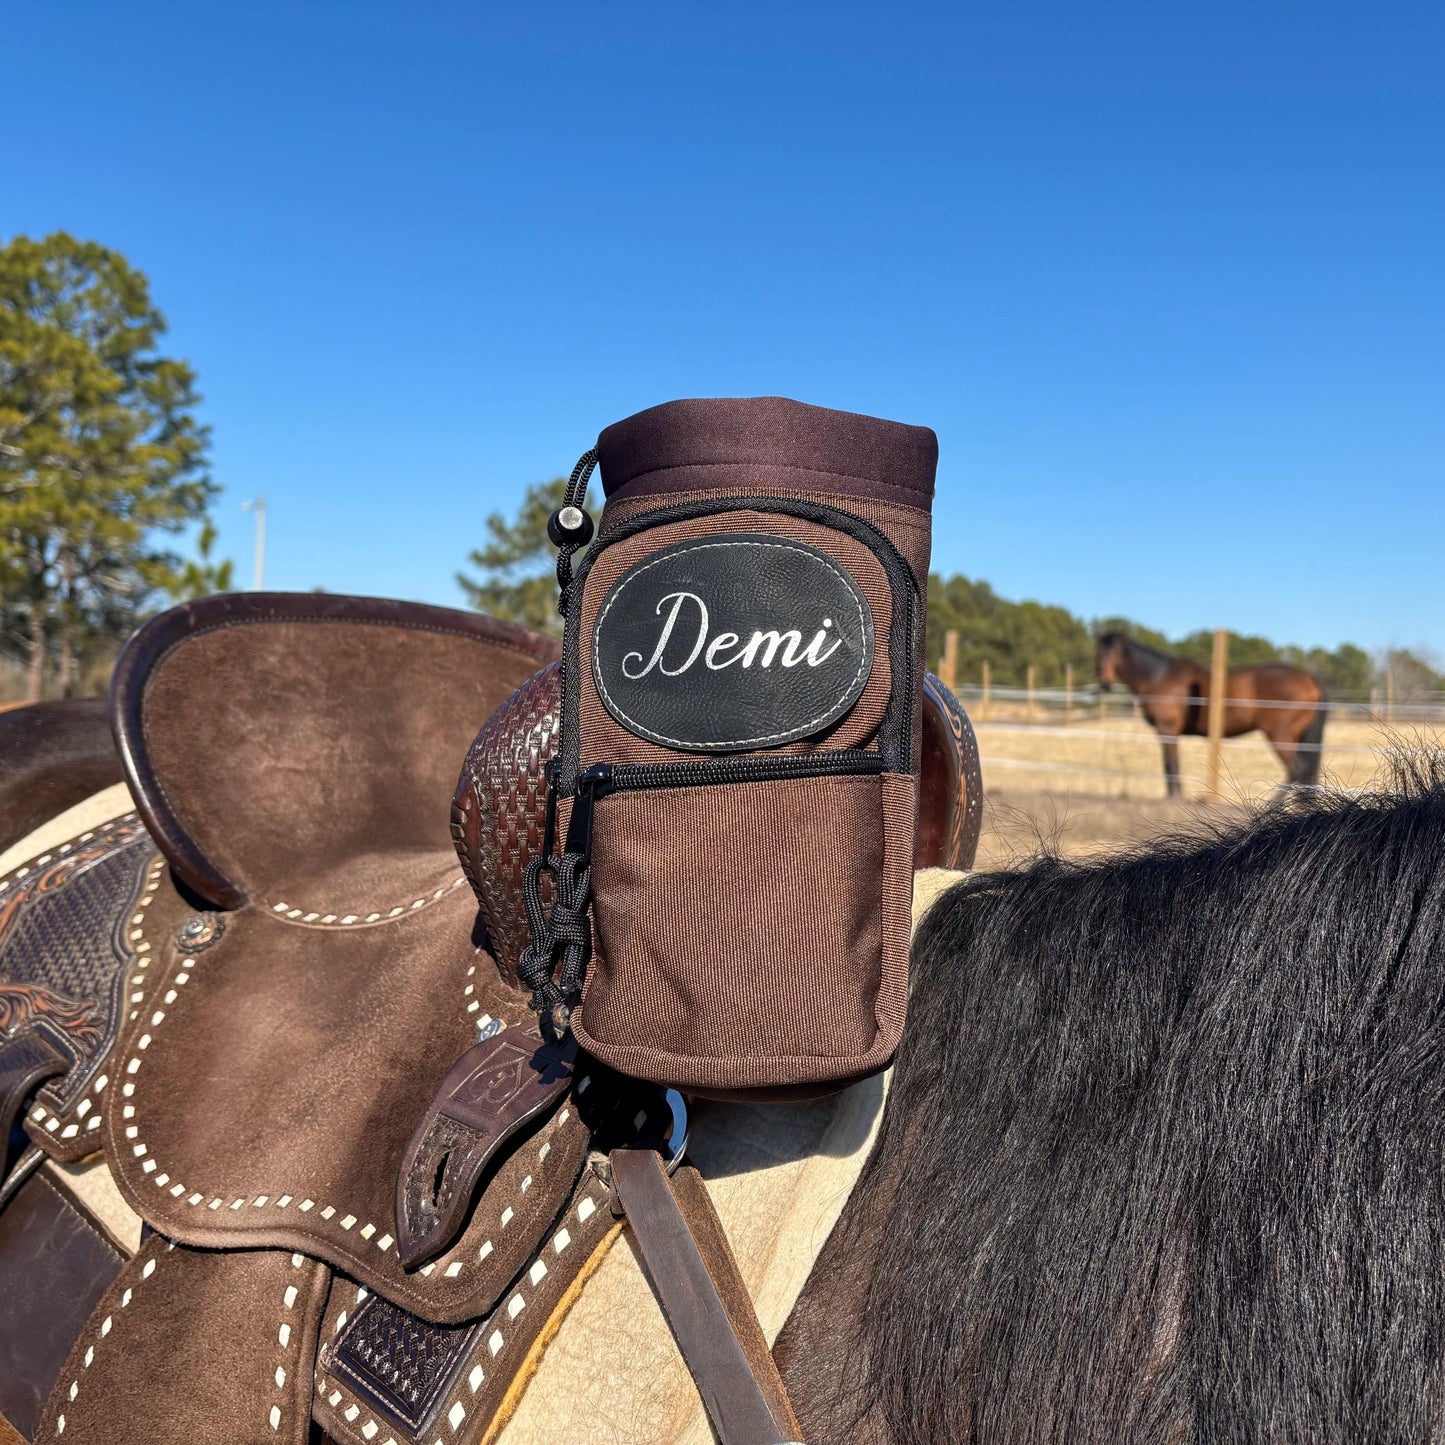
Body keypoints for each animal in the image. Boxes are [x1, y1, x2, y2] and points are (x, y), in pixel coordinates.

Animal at [1096, 631, 1327, 796]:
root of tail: (1309, 679)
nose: (1105, 684)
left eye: (1116, 652)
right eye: (1099, 652)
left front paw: (1174, 796)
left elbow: (1170, 764)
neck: (1158, 677)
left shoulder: (1167, 729)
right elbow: (1171, 764)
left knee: (1296, 770)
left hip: (1280, 735)